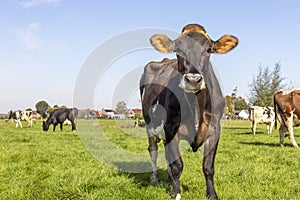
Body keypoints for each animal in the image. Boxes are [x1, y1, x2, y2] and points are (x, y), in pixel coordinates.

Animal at [139, 24, 238, 199]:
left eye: (208, 50)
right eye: (179, 50)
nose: (193, 80)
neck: (196, 105)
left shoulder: (214, 129)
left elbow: (208, 167)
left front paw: (212, 195)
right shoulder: (171, 128)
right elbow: (177, 165)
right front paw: (176, 193)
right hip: (150, 126)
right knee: (153, 150)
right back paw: (154, 178)